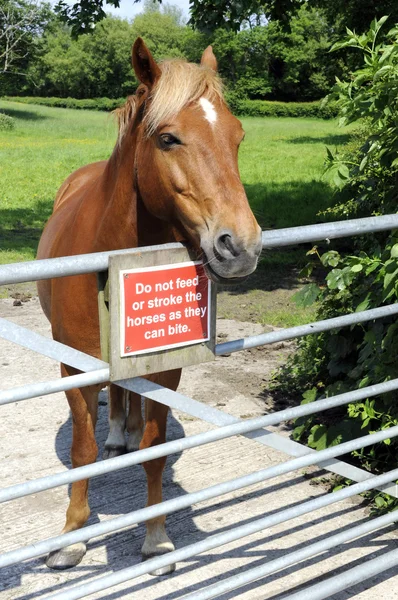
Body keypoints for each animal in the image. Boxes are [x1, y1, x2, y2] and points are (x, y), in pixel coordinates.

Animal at [36, 37, 262, 572]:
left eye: (238, 137)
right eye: (168, 139)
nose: (241, 246)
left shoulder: (166, 369)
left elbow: (154, 449)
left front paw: (157, 537)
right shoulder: (74, 368)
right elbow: (82, 451)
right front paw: (72, 535)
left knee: (130, 396)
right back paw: (118, 431)